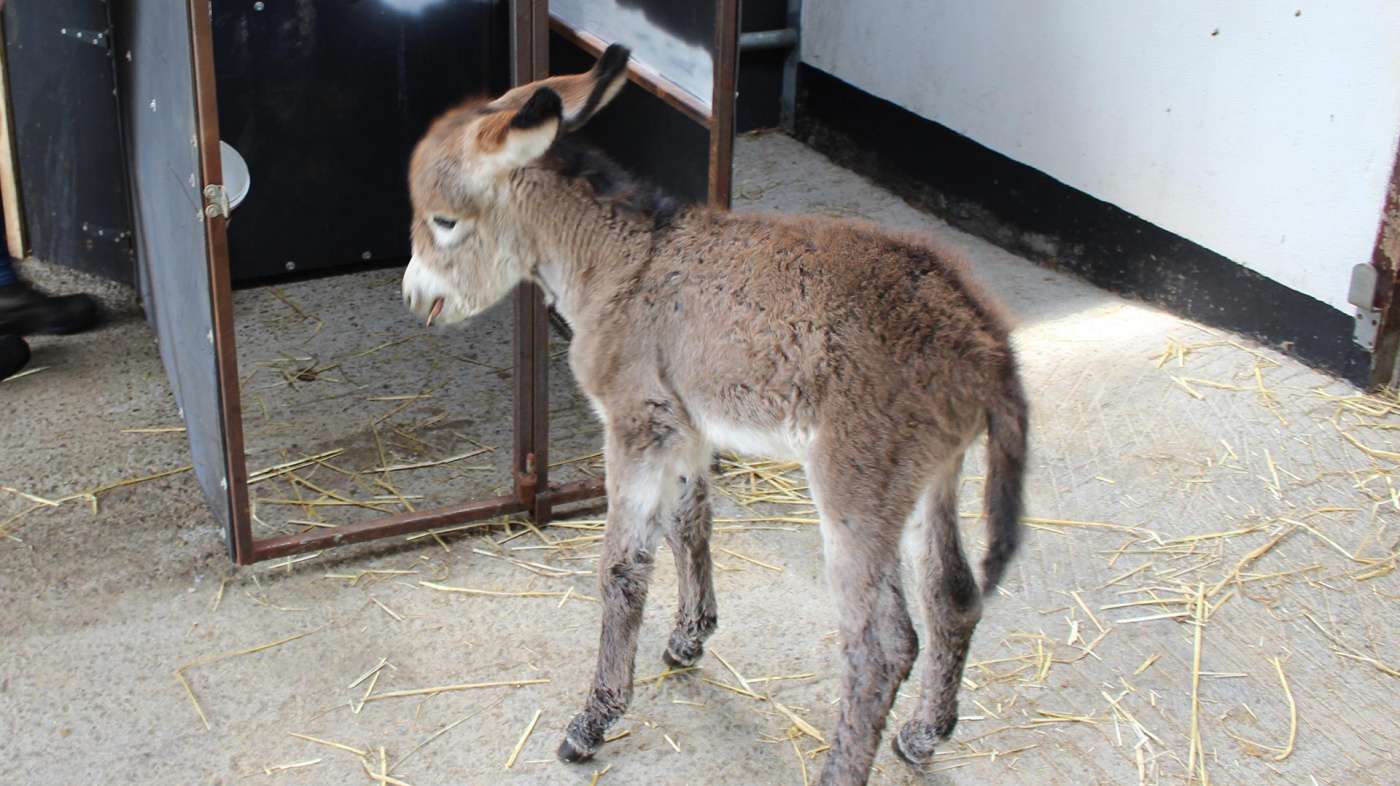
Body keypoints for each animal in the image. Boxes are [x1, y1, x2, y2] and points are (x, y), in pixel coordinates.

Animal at [403, 45, 1030, 778]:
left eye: (445, 221)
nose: (412, 296)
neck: (617, 263)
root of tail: (984, 337)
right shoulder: (686, 429)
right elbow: (690, 524)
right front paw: (690, 637)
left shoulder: (635, 426)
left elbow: (621, 568)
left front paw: (595, 719)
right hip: (933, 475)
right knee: (953, 595)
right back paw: (924, 734)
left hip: (858, 485)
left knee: (881, 645)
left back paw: (843, 769)